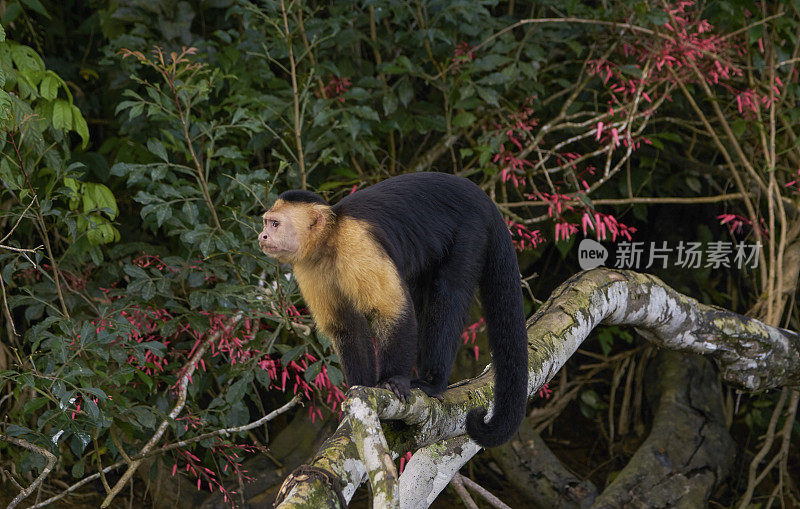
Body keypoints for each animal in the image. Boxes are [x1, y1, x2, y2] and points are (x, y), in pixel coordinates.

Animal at [260, 171, 528, 444]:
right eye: (266, 223)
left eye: (275, 224)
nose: (262, 236)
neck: (328, 242)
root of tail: (481, 197)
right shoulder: (309, 268)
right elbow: (346, 327)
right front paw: (361, 391)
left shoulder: (356, 244)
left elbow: (390, 310)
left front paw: (393, 381)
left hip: (470, 230)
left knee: (447, 293)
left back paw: (433, 381)